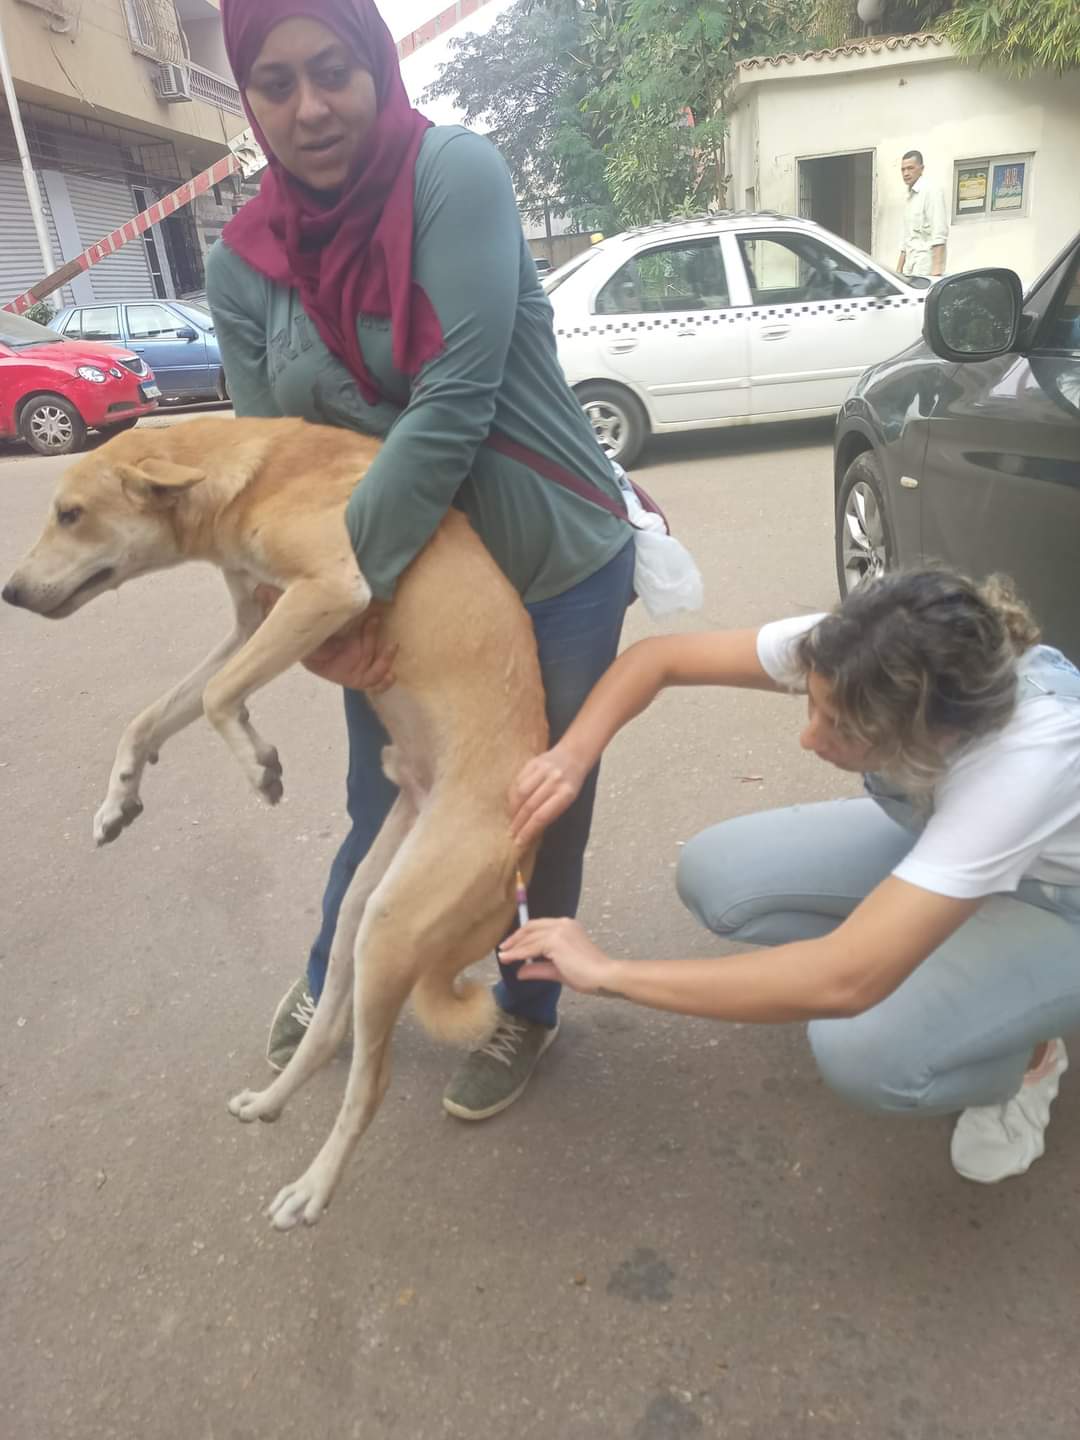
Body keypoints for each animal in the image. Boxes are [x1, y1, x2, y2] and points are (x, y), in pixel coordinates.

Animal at [3, 415, 547, 1230]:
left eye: (70, 514)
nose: (9, 592)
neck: (253, 475)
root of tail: (530, 832)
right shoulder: (254, 621)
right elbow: (153, 714)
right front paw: (118, 799)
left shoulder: (329, 589)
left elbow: (218, 696)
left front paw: (257, 761)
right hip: (366, 904)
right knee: (329, 1036)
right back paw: (270, 1102)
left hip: (395, 922)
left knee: (369, 1087)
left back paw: (313, 1188)